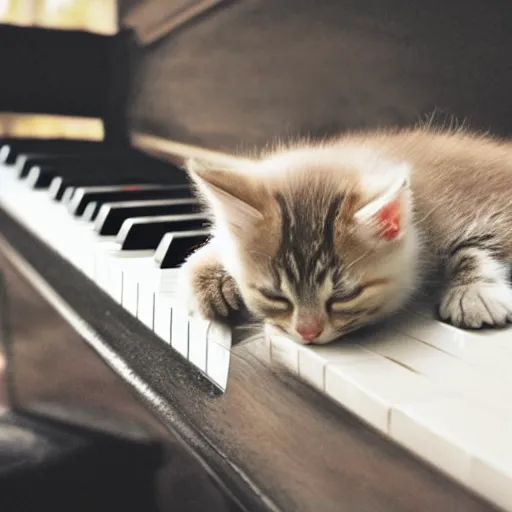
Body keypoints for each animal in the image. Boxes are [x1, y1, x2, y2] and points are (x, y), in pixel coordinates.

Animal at [179, 126, 512, 346]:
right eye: (274, 296)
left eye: (344, 296)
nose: (307, 333)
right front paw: (208, 274)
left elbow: (479, 244)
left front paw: (474, 291)